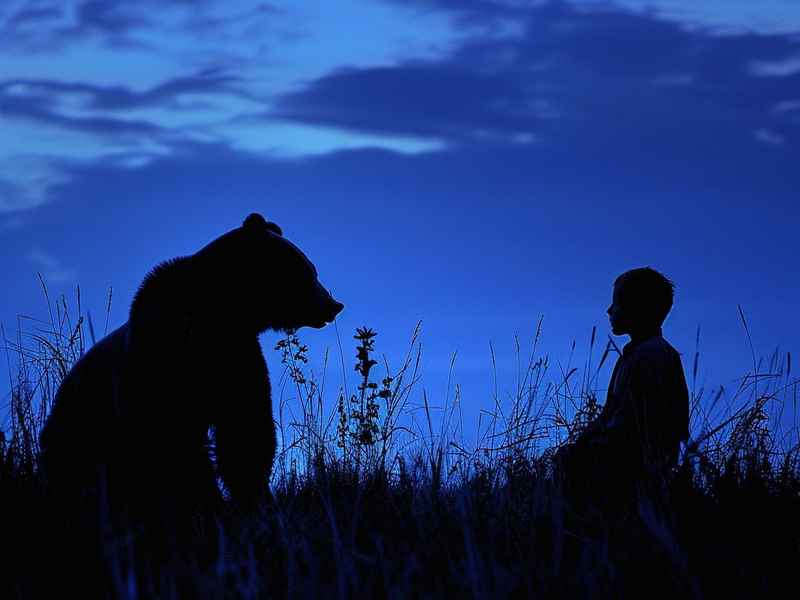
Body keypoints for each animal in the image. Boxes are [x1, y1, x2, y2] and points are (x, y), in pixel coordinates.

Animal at [39, 213, 343, 533]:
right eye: (306, 270)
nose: (333, 304)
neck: (220, 315)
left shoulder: (236, 356)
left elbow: (246, 428)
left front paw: (254, 501)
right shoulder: (165, 360)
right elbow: (174, 441)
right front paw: (206, 505)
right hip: (81, 427)